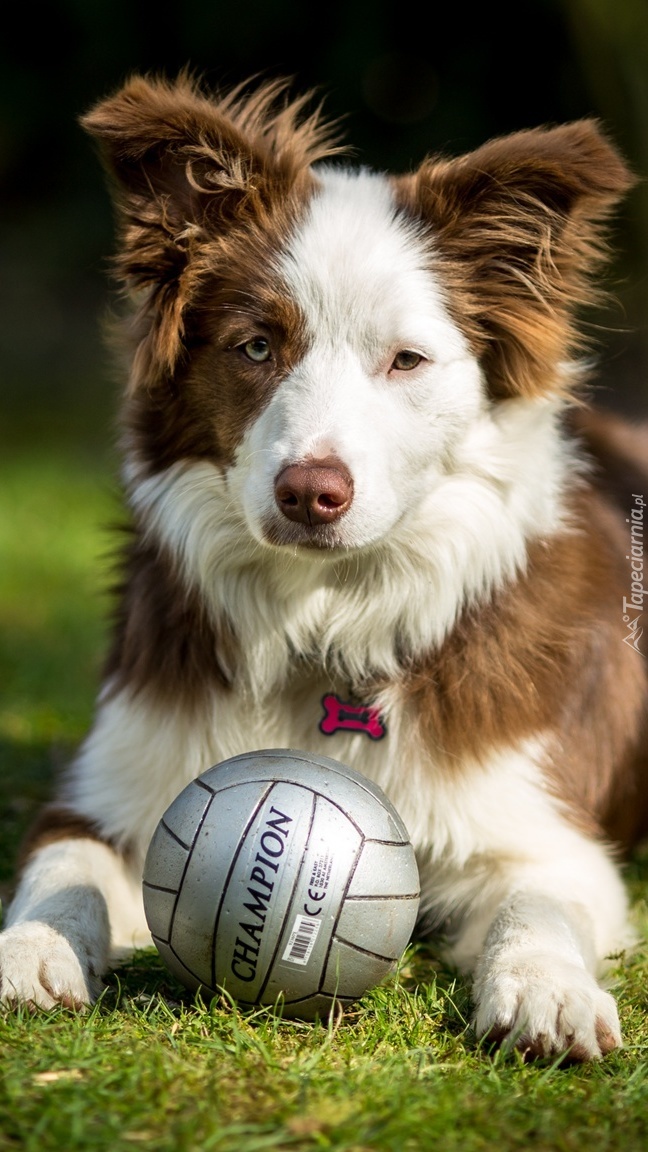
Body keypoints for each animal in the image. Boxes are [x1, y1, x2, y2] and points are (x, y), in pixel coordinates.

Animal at [1, 74, 645, 1059]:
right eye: (257, 346)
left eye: (407, 360)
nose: (311, 492)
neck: (323, 614)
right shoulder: (109, 783)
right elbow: (62, 862)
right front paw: (29, 949)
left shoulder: (545, 833)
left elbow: (535, 906)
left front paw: (549, 994)